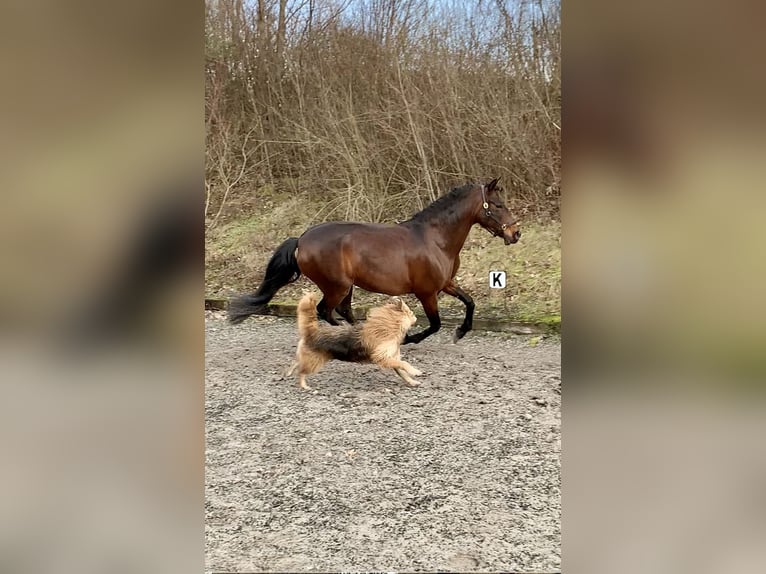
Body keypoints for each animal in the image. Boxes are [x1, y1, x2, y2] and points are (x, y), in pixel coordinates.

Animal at [228, 178, 524, 344]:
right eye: (498, 205)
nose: (516, 233)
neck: (435, 239)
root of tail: (301, 239)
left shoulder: (446, 284)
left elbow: (470, 302)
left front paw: (461, 332)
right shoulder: (427, 292)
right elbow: (435, 325)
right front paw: (408, 339)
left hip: (346, 287)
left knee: (343, 311)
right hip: (336, 286)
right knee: (326, 311)